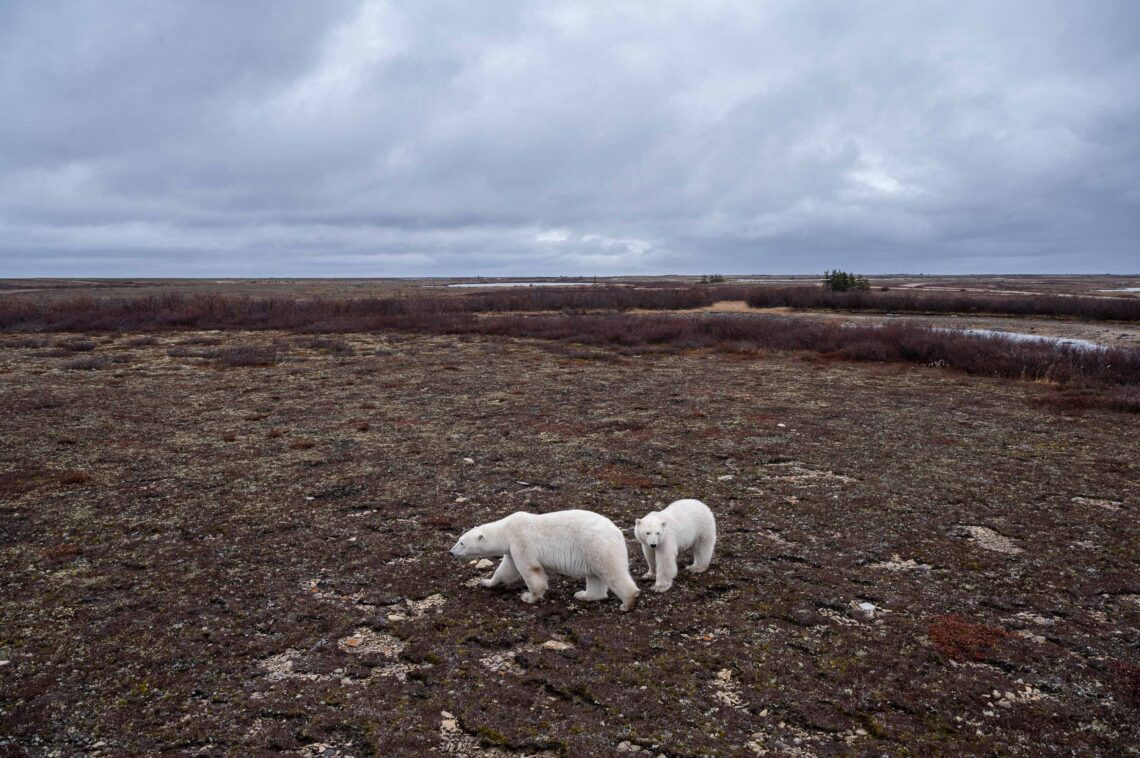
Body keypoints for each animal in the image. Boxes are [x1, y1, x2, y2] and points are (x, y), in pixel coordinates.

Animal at [446, 508, 642, 610]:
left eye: (462, 543)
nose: (451, 552)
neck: (506, 529)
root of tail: (617, 532)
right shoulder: (511, 549)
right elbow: (506, 570)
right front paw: (487, 582)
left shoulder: (521, 541)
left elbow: (530, 569)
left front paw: (529, 597)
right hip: (592, 551)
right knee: (595, 576)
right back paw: (584, 595)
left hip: (598, 546)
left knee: (612, 572)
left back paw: (627, 602)